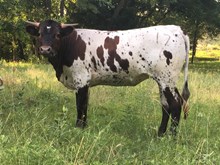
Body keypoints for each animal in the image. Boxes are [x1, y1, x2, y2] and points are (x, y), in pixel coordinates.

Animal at [25, 19, 190, 136]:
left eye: (57, 34)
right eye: (39, 34)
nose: (45, 49)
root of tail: (177, 29)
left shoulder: (81, 80)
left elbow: (80, 106)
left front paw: (78, 128)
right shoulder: (86, 83)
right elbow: (85, 105)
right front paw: (84, 127)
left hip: (167, 78)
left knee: (175, 104)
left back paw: (171, 137)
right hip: (162, 80)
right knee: (166, 105)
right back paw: (160, 134)